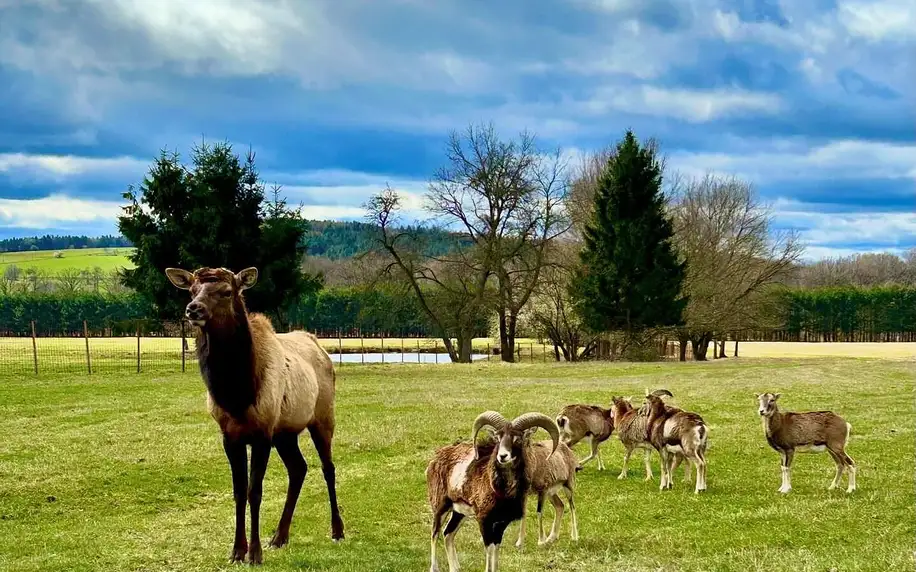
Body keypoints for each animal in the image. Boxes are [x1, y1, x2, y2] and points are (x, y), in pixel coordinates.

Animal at [165, 268, 344, 564]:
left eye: (227, 291)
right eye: (191, 290)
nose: (193, 309)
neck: (238, 395)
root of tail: (320, 346)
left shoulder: (262, 433)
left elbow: (255, 491)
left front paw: (255, 553)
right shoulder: (230, 436)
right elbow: (239, 491)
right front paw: (238, 550)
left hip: (322, 417)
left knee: (327, 468)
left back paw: (337, 530)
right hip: (285, 432)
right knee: (299, 468)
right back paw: (280, 536)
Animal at [428, 412, 560, 572]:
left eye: (518, 439)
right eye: (498, 438)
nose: (502, 456)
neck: (502, 491)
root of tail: (436, 459)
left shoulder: (501, 524)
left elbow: (496, 549)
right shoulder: (484, 521)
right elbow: (489, 549)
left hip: (459, 513)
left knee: (448, 534)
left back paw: (455, 568)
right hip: (440, 508)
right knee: (435, 533)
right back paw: (434, 568)